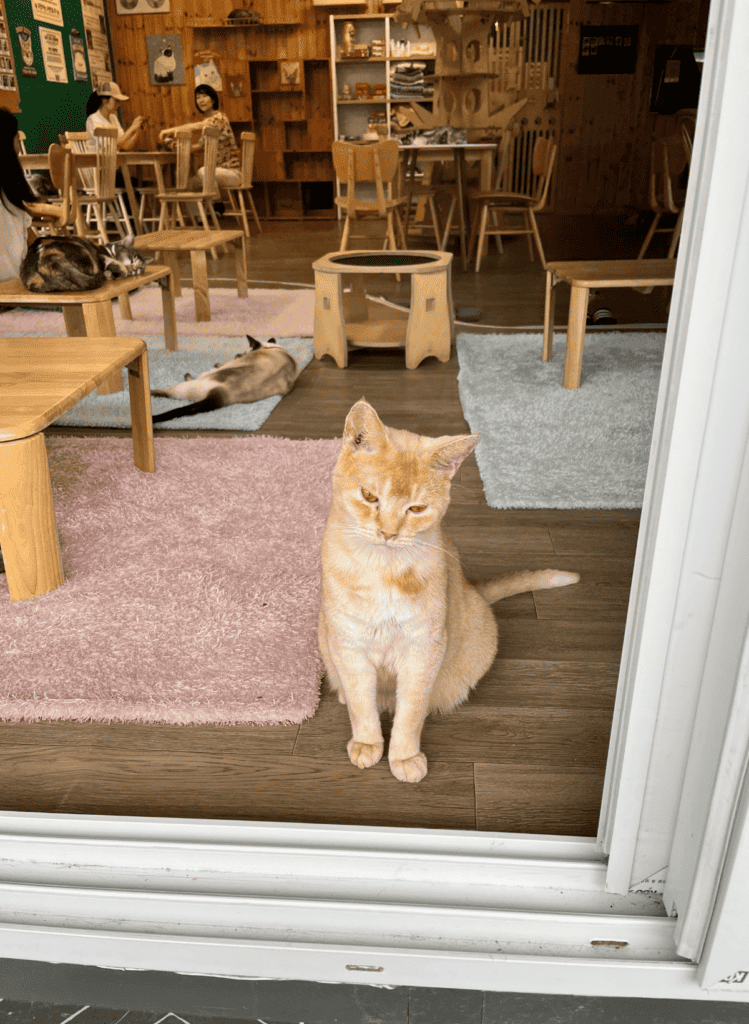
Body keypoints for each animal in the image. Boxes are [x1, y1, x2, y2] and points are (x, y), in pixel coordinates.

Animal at [20, 234, 152, 294]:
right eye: (132, 259)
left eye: (140, 268)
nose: (134, 269)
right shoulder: (101, 256)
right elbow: (115, 264)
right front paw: (119, 270)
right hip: (85, 254)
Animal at [149, 331, 299, 419]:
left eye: (243, 353)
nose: (240, 354)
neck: (273, 349)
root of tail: (221, 395)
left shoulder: (232, 362)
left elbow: (220, 364)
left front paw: (220, 362)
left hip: (183, 386)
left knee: (162, 392)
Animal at [315, 399, 581, 782]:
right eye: (369, 496)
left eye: (416, 508)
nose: (388, 533)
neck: (383, 570)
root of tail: (475, 591)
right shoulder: (349, 644)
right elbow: (361, 704)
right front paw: (367, 743)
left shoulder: (423, 649)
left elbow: (410, 711)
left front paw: (404, 756)